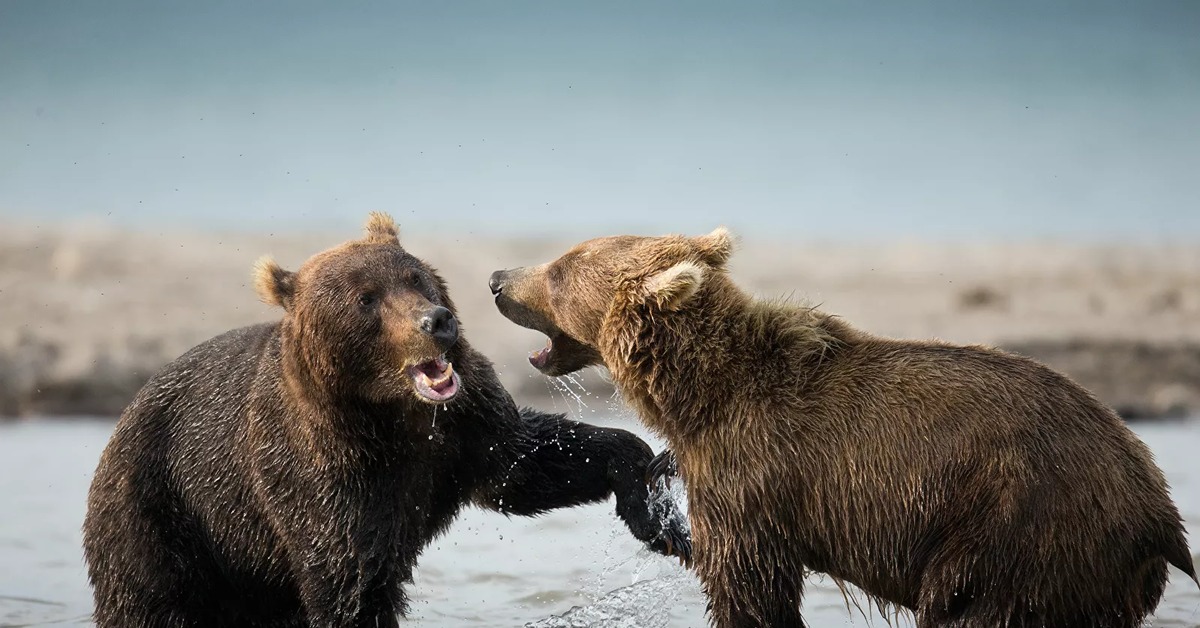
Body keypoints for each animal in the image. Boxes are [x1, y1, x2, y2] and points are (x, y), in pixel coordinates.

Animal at [84, 213, 691, 624]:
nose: (437, 321)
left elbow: (528, 464)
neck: (394, 414)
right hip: (162, 521)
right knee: (150, 602)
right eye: (366, 299)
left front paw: (659, 512)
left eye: (417, 279)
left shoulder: (465, 429)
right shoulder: (323, 477)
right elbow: (352, 584)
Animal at [489, 229, 1200, 628]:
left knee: (970, 611)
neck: (698, 398)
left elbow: (749, 587)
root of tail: (1159, 509)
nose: (497, 277)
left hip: (1016, 528)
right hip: (1088, 571)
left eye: (559, 269)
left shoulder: (752, 475)